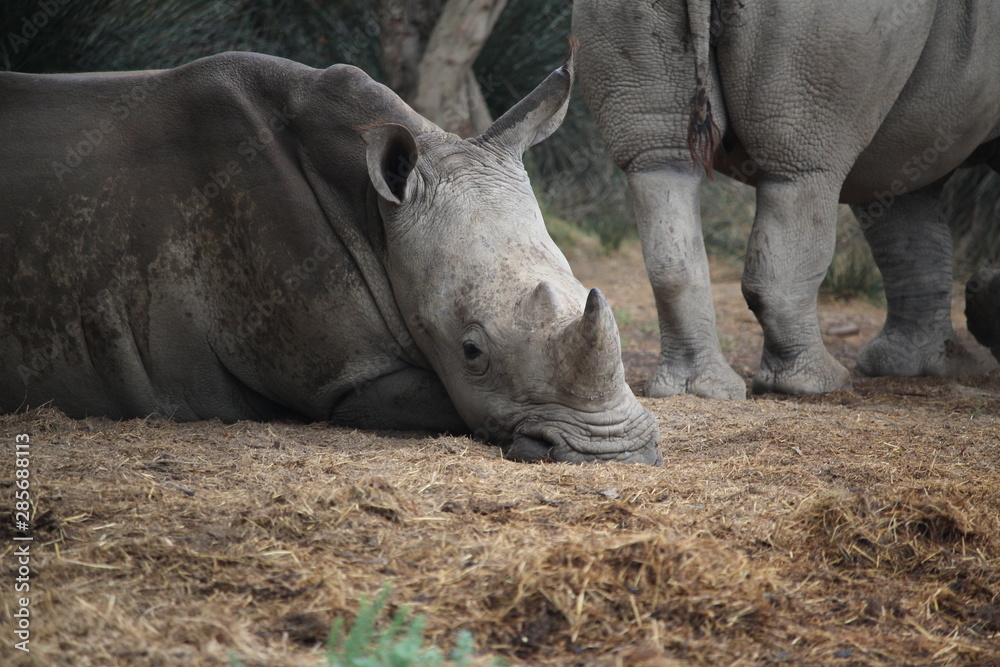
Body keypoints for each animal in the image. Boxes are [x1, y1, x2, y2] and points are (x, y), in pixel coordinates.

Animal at [573, 0, 1000, 397]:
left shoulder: (905, 153)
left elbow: (912, 240)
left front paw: (925, 367)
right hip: (829, 24)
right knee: (803, 172)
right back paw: (818, 386)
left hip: (620, 14)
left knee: (660, 165)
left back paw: (697, 390)